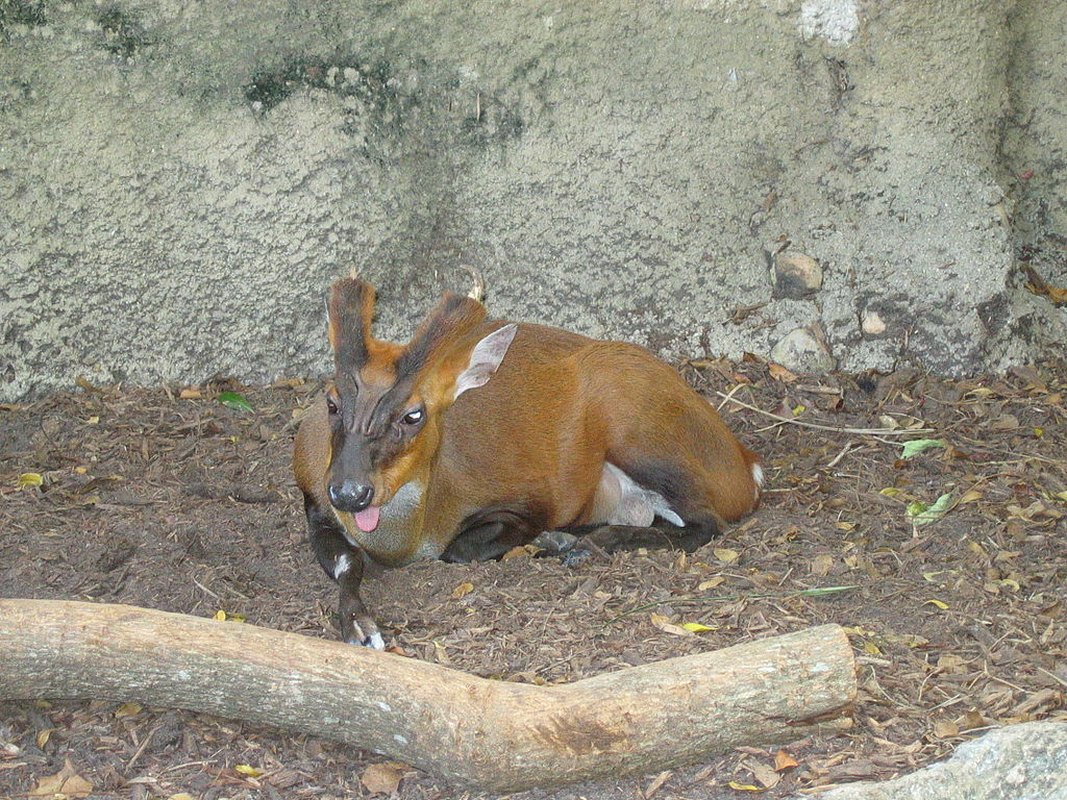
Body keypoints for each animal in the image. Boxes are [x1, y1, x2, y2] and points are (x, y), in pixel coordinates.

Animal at [292, 279, 759, 648]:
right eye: (332, 402)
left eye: (413, 414)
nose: (350, 492)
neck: (407, 539)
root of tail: (746, 463)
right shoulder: (313, 500)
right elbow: (347, 563)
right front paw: (359, 625)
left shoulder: (530, 497)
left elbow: (459, 550)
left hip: (635, 424)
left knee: (707, 522)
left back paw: (585, 542)